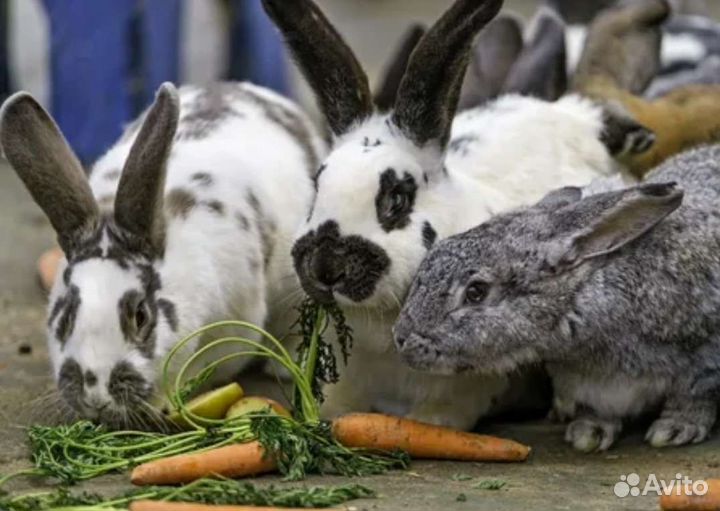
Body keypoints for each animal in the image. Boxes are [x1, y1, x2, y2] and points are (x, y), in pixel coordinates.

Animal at [394, 143, 720, 452]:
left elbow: (693, 398)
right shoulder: (591, 386)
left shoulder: (701, 362)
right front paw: (588, 433)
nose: (401, 337)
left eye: (476, 292)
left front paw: (675, 430)